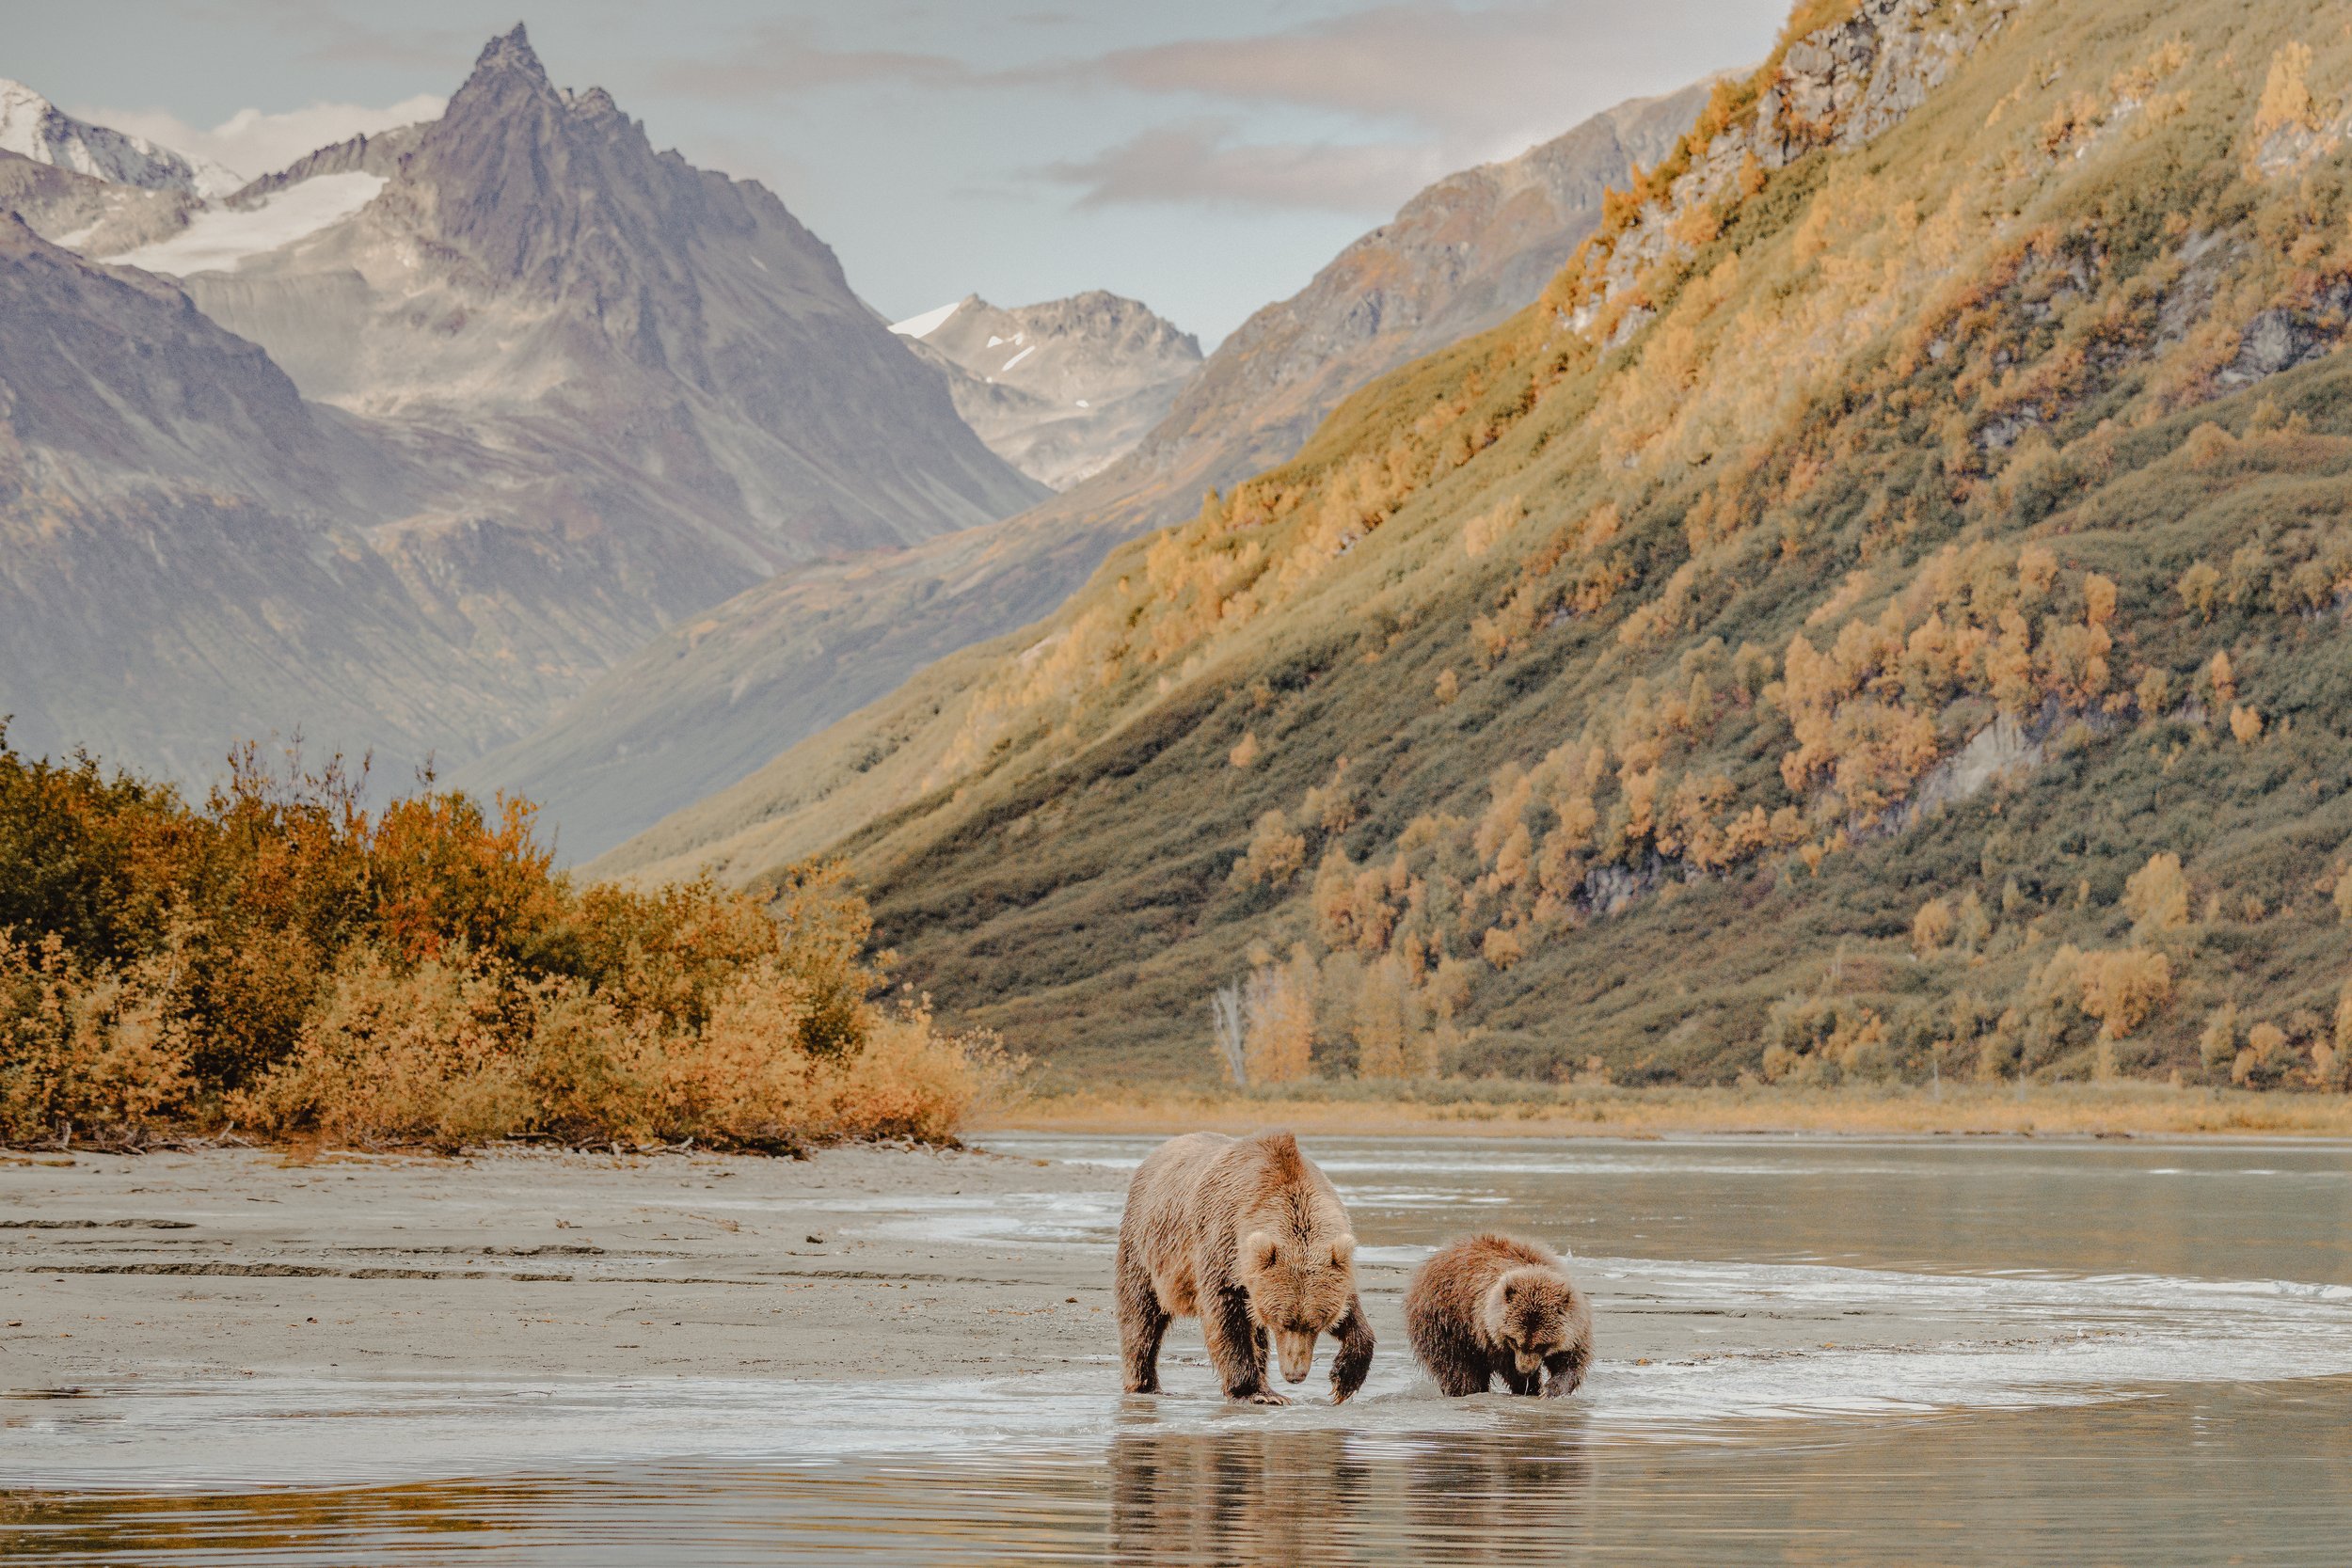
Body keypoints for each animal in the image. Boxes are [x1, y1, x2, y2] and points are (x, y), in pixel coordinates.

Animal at [1115, 1129, 1375, 1405]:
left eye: (1316, 1323)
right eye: (1282, 1322)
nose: (1295, 1375)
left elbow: (1352, 1313)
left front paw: (1345, 1379)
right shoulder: (1221, 1248)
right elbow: (1227, 1318)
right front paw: (1257, 1392)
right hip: (1144, 1243)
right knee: (1141, 1312)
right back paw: (1145, 1383)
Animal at [1404, 1233, 1591, 1398]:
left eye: (1542, 1345)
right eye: (1514, 1340)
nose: (1525, 1370)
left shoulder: (1575, 1327)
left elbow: (1571, 1360)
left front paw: (1550, 1389)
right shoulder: (1488, 1332)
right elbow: (1506, 1365)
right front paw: (1530, 1387)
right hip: (1445, 1323)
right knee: (1456, 1368)